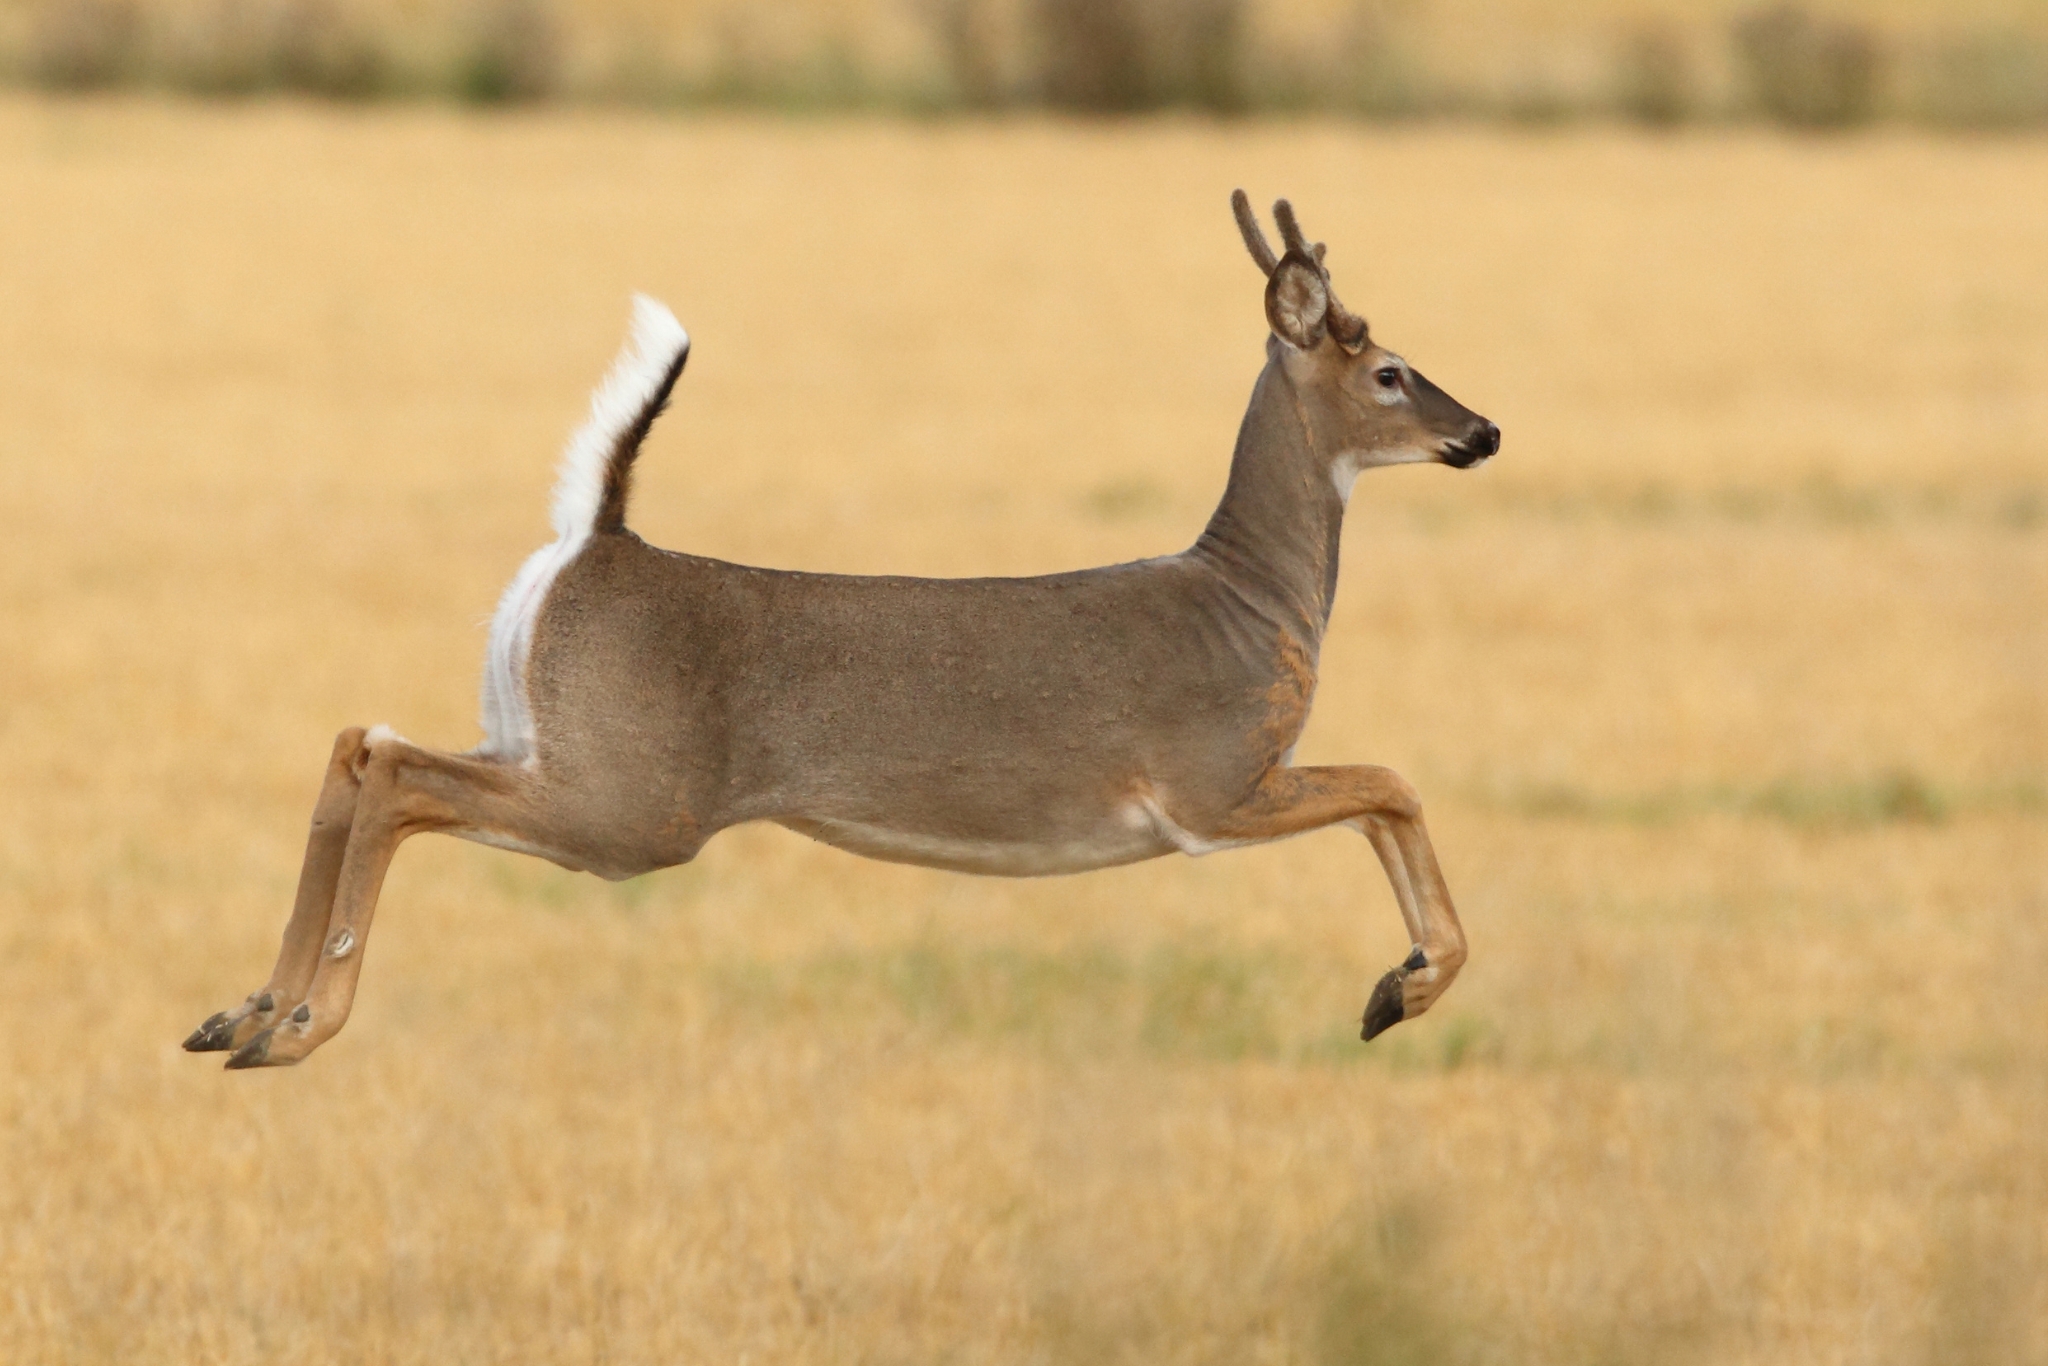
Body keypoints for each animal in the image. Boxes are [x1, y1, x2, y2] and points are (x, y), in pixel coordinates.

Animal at [183, 192, 1500, 1070]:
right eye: (1388, 371)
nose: (1480, 431)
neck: (1247, 598)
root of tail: (596, 538)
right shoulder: (1209, 783)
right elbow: (1393, 781)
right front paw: (1404, 986)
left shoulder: (1231, 789)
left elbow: (1387, 797)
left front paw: (1394, 988)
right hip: (631, 801)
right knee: (397, 773)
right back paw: (299, 1024)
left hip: (549, 743)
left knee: (361, 744)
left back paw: (240, 1014)